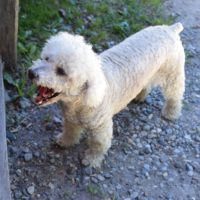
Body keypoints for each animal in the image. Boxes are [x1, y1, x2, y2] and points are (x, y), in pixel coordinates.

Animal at [28, 23, 184, 167]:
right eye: (46, 58)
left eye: (61, 71)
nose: (31, 73)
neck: (82, 100)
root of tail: (170, 28)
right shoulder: (70, 119)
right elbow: (70, 131)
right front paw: (65, 141)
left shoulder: (101, 126)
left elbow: (98, 144)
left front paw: (91, 160)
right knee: (147, 84)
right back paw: (140, 96)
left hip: (173, 75)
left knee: (175, 95)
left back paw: (170, 112)